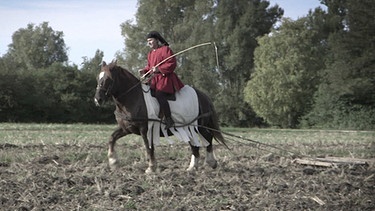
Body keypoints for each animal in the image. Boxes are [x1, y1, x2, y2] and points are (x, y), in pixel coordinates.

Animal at [95, 59, 228, 173]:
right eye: (98, 78)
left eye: (108, 78)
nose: (98, 99)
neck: (134, 97)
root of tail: (203, 95)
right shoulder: (127, 128)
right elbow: (112, 138)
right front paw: (113, 162)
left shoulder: (145, 129)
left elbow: (148, 147)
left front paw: (151, 167)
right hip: (189, 127)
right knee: (194, 144)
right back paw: (192, 167)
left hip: (199, 125)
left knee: (208, 138)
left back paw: (211, 162)